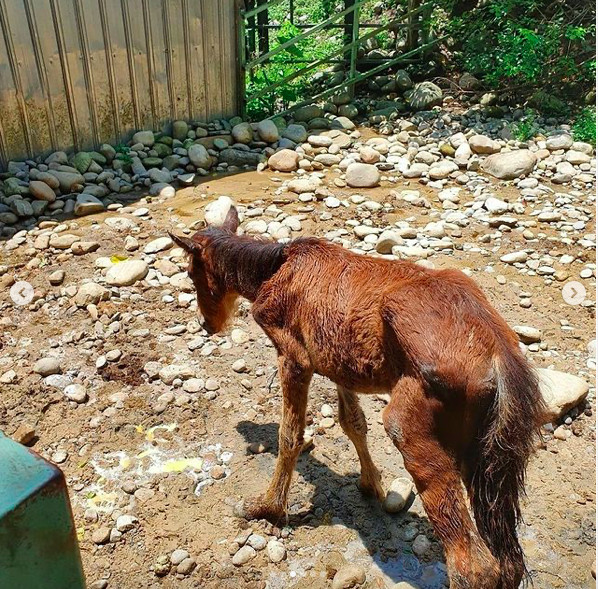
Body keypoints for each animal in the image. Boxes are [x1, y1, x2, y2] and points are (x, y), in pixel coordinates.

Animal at [170, 203, 548, 588]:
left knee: (474, 565)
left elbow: (290, 435)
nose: (207, 325)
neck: (265, 274)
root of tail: (500, 358)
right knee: (509, 558)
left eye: (191, 272)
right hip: (484, 451)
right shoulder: (339, 364)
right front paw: (371, 485)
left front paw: (267, 507)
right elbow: (353, 423)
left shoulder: (295, 357)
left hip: (411, 422)